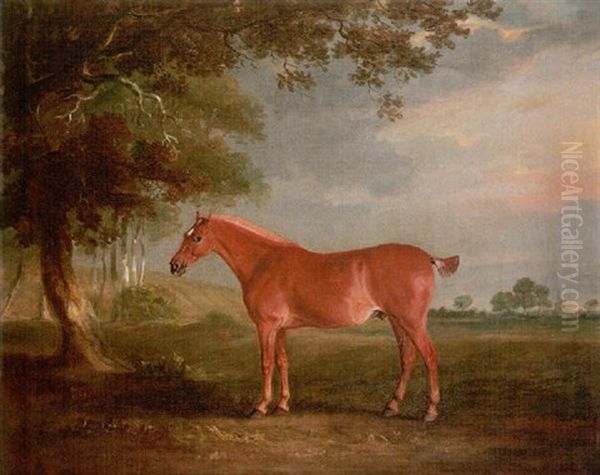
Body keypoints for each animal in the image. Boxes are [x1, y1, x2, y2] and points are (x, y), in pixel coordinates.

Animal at [169, 214, 460, 422]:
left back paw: (430, 411)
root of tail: (427, 258)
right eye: (186, 235)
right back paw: (391, 407)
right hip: (396, 321)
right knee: (408, 358)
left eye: (197, 238)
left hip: (412, 321)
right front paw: (282, 405)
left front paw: (260, 407)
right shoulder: (280, 328)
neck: (264, 262)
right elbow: (283, 362)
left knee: (429, 355)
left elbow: (266, 363)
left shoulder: (266, 326)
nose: (174, 265)